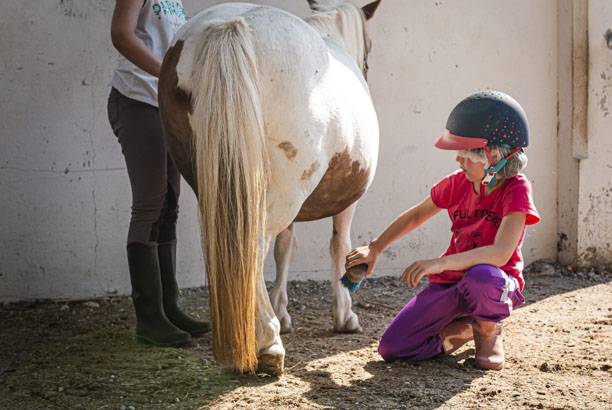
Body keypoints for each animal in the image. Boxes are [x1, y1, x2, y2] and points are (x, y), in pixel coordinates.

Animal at [155, 0, 380, 374]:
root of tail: (231, 25)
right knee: (253, 247)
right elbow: (339, 247)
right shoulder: (347, 201)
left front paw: (283, 313)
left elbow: (285, 248)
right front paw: (344, 315)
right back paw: (268, 343)